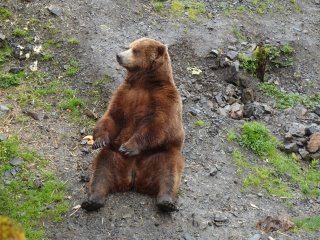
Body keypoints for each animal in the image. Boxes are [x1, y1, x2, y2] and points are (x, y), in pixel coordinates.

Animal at [80, 37, 185, 212]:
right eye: (128, 46)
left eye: (135, 50)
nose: (119, 55)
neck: (144, 82)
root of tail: (134, 178)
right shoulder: (124, 94)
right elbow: (112, 116)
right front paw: (99, 140)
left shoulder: (166, 99)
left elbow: (159, 125)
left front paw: (128, 147)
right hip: (113, 156)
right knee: (101, 170)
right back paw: (92, 201)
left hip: (161, 155)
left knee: (169, 173)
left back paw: (166, 202)